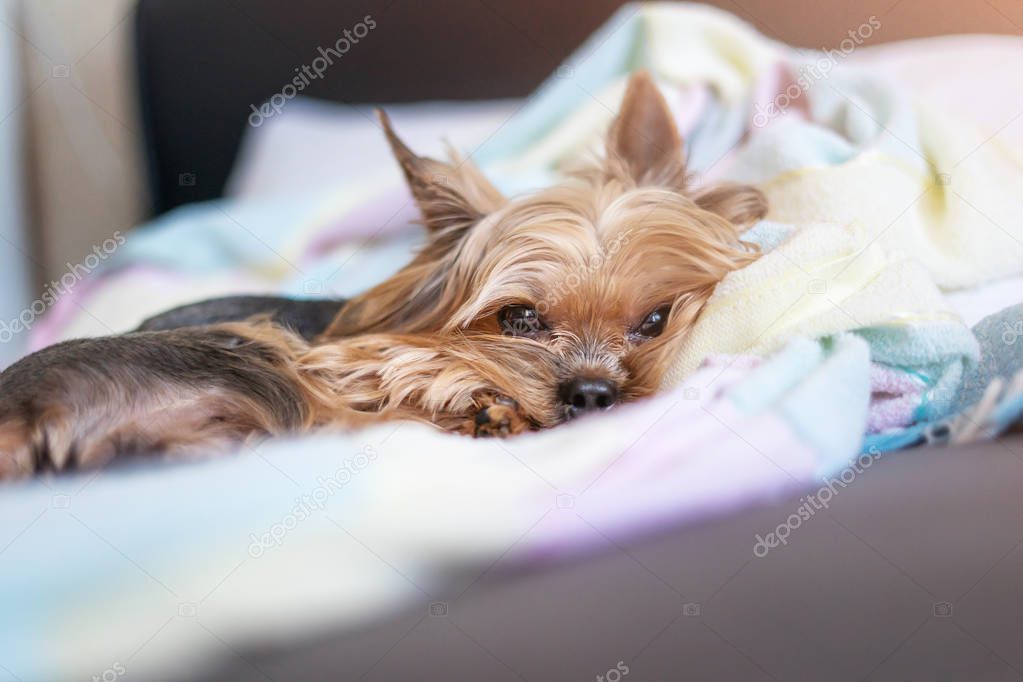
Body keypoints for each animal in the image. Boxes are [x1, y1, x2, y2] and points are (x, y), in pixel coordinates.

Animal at [0, 72, 769, 480]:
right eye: (519, 319)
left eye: (654, 321)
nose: (591, 394)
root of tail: (20, 415)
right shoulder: (352, 356)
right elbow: (408, 368)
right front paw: (477, 396)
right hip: (257, 355)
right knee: (331, 417)